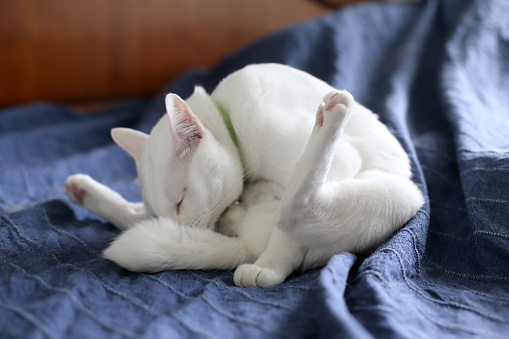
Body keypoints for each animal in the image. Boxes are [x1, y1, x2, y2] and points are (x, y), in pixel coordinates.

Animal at [67, 63, 424, 286]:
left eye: (181, 201)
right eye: (165, 212)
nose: (177, 226)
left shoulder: (343, 161)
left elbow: (287, 238)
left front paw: (270, 268)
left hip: (402, 195)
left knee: (297, 212)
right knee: (133, 217)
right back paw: (81, 189)